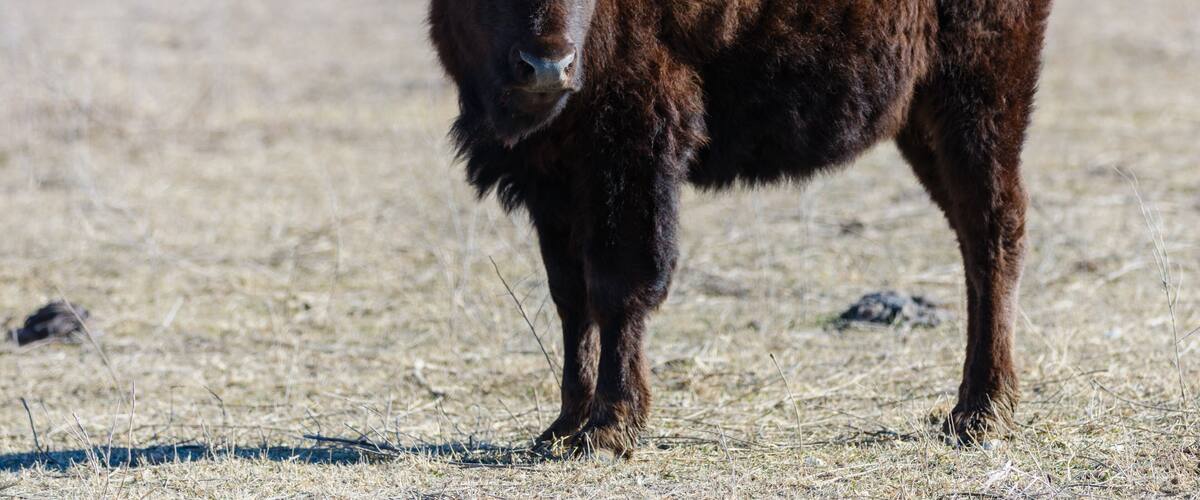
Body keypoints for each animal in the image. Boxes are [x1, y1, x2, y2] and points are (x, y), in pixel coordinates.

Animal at [429, 0, 1053, 457]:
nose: (547, 66)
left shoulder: (631, 152)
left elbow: (618, 286)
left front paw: (608, 429)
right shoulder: (553, 186)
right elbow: (571, 299)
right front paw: (561, 427)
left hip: (978, 98)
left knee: (996, 231)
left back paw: (980, 414)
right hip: (921, 120)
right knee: (973, 239)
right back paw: (973, 408)